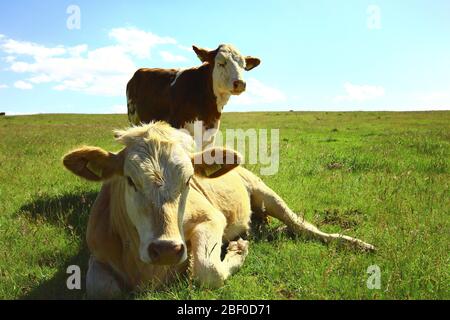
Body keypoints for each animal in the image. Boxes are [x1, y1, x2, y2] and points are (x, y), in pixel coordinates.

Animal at [61, 122, 374, 298]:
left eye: (189, 180)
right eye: (129, 180)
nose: (166, 249)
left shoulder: (211, 219)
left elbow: (208, 269)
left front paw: (237, 251)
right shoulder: (98, 253)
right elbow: (103, 289)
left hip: (265, 192)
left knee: (302, 225)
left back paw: (355, 243)